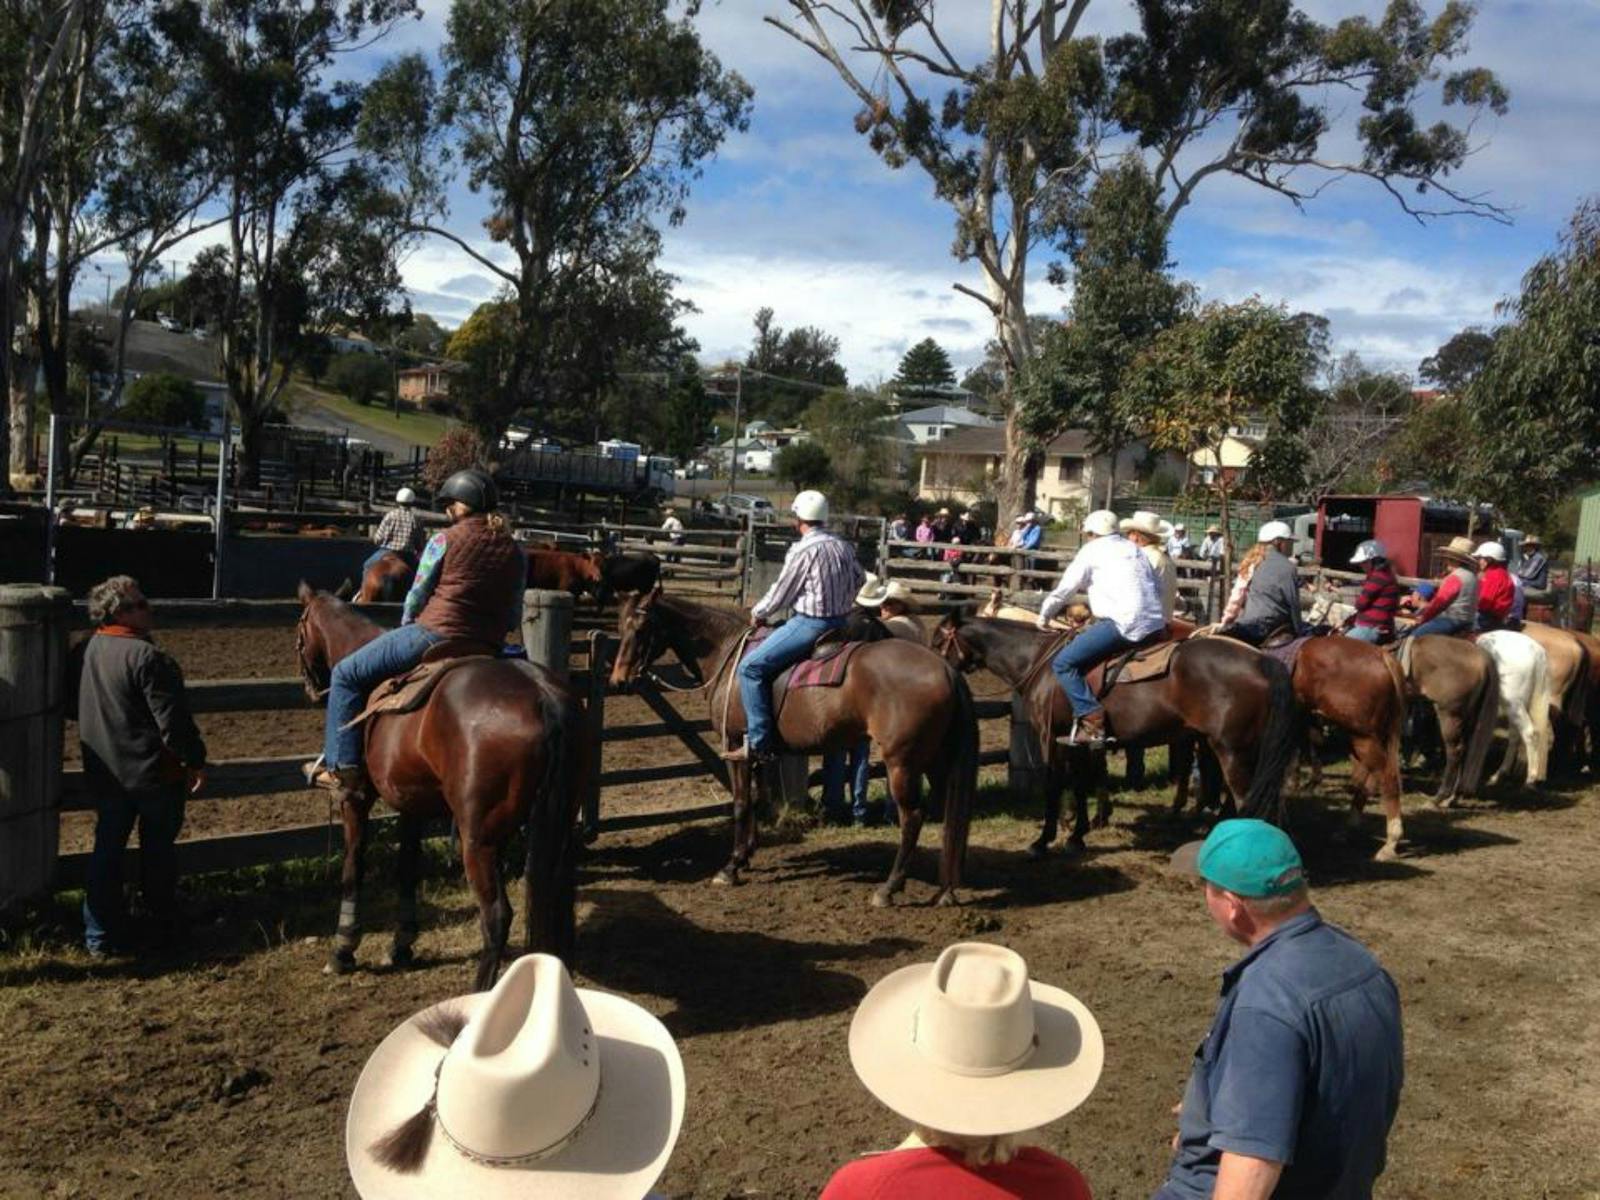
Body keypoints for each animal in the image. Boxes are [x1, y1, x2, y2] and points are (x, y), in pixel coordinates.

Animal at [294, 585, 588, 998]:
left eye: (299, 631)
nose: (310, 689)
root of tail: (546, 698)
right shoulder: (410, 804)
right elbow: (407, 868)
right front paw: (401, 945)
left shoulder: (356, 798)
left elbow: (354, 866)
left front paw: (342, 950)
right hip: (555, 824)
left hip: (478, 839)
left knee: (496, 916)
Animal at [604, 588, 972, 908]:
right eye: (620, 626)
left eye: (642, 628)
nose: (619, 681)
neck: (728, 653)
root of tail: (945, 668)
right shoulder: (757, 751)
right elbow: (755, 799)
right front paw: (748, 855)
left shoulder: (734, 745)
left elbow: (740, 803)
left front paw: (731, 867)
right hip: (935, 760)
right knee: (946, 812)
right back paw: (945, 889)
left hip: (902, 763)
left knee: (912, 817)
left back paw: (889, 888)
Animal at [934, 614, 1305, 851]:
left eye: (938, 640)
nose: (936, 672)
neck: (1039, 661)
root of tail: (1261, 660)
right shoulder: (1079, 742)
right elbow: (1080, 784)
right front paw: (1077, 835)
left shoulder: (1052, 738)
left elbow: (1055, 784)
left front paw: (1043, 840)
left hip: (1231, 750)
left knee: (1246, 800)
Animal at [1472, 630, 1548, 790]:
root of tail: (1537, 651)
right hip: (1514, 707)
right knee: (1514, 735)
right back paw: (1499, 774)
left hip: (1514, 704)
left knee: (1529, 733)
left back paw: (1530, 779)